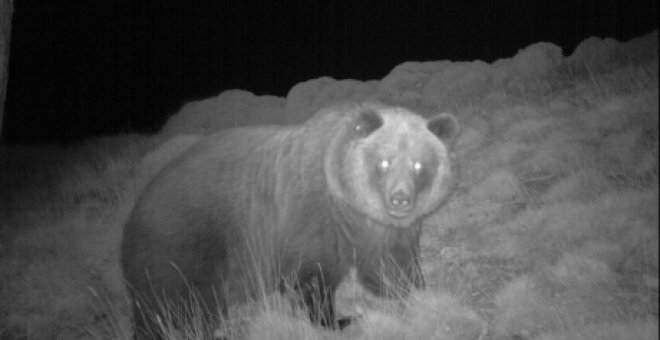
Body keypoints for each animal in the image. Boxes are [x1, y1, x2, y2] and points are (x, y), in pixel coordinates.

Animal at [120, 100, 458, 338]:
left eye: (419, 164)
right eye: (385, 161)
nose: (400, 199)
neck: (348, 205)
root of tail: (135, 209)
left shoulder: (381, 230)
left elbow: (390, 266)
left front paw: (415, 289)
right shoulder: (308, 220)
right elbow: (311, 279)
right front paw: (341, 319)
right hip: (179, 247)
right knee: (173, 307)